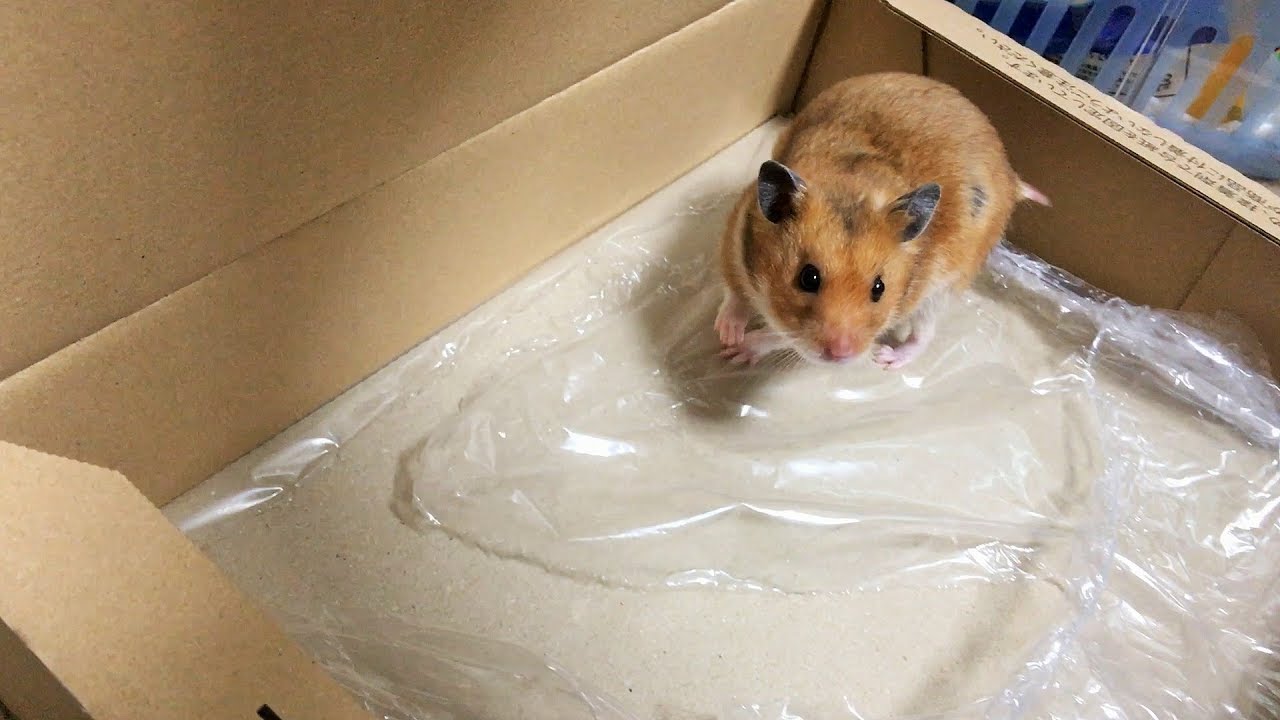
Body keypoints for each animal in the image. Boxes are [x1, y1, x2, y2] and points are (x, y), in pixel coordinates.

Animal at [715, 72, 1049, 369]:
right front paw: (726, 335)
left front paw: (736, 350)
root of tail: (1011, 175)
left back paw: (887, 359)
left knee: (924, 336)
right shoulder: (735, 235)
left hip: (943, 289)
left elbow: (779, 337)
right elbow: (734, 292)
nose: (843, 355)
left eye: (879, 288)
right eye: (807, 278)